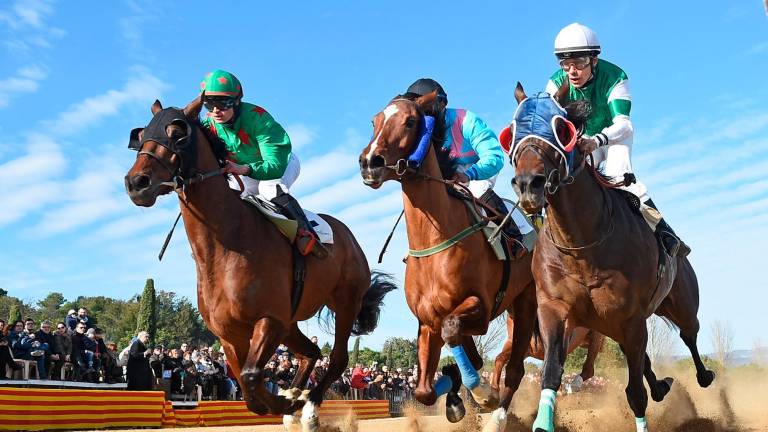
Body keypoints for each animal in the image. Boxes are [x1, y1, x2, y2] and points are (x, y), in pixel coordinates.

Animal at [124, 98, 396, 432]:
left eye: (177, 133)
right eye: (141, 134)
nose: (136, 182)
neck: (225, 246)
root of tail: (349, 236)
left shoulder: (270, 320)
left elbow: (253, 377)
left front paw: (289, 402)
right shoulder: (230, 335)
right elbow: (248, 388)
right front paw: (286, 399)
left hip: (345, 303)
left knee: (336, 359)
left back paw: (308, 407)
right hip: (292, 323)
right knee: (311, 353)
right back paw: (297, 399)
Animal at [358, 91, 536, 432]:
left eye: (410, 121)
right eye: (374, 121)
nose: (369, 162)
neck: (434, 242)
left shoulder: (480, 309)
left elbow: (453, 329)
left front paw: (481, 392)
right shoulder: (428, 320)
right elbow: (424, 391)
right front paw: (453, 394)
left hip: (524, 303)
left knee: (516, 369)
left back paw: (497, 416)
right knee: (477, 359)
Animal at [510, 82, 712, 432]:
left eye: (561, 129)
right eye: (511, 133)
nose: (527, 185)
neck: (582, 245)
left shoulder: (630, 318)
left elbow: (635, 394)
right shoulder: (554, 307)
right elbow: (551, 373)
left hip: (679, 304)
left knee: (689, 334)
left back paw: (704, 375)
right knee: (645, 360)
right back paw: (662, 385)